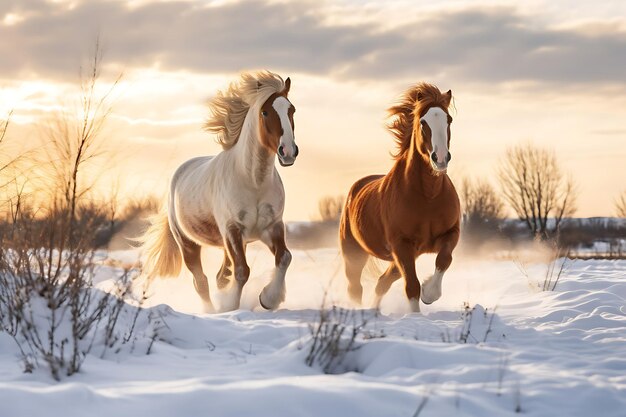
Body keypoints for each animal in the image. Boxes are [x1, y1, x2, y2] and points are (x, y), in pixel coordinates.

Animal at [141, 71, 298, 310]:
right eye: (265, 112)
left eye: (292, 110)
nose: (288, 152)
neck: (254, 182)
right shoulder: (232, 229)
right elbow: (242, 271)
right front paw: (230, 306)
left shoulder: (271, 227)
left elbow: (284, 258)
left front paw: (268, 299)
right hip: (188, 244)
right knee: (201, 282)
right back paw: (211, 310)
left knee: (220, 277)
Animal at [338, 83, 460, 312]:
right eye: (422, 122)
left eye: (448, 119)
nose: (440, 158)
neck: (428, 196)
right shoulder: (401, 244)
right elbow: (411, 285)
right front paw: (416, 315)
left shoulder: (450, 234)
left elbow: (444, 260)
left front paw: (429, 294)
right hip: (354, 254)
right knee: (355, 287)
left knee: (382, 282)